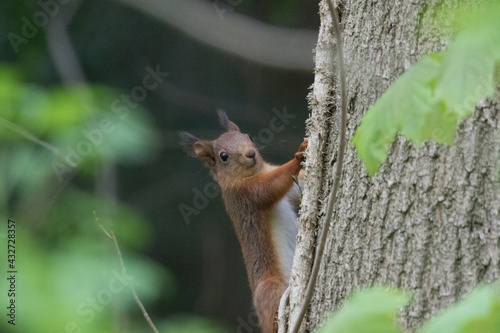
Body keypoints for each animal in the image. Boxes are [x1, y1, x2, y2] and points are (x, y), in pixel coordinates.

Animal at [180, 110, 304, 330]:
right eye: (223, 156)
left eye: (250, 137)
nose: (251, 153)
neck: (256, 172)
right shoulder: (246, 196)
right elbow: (270, 186)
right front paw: (297, 158)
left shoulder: (287, 191)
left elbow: (299, 186)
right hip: (269, 287)